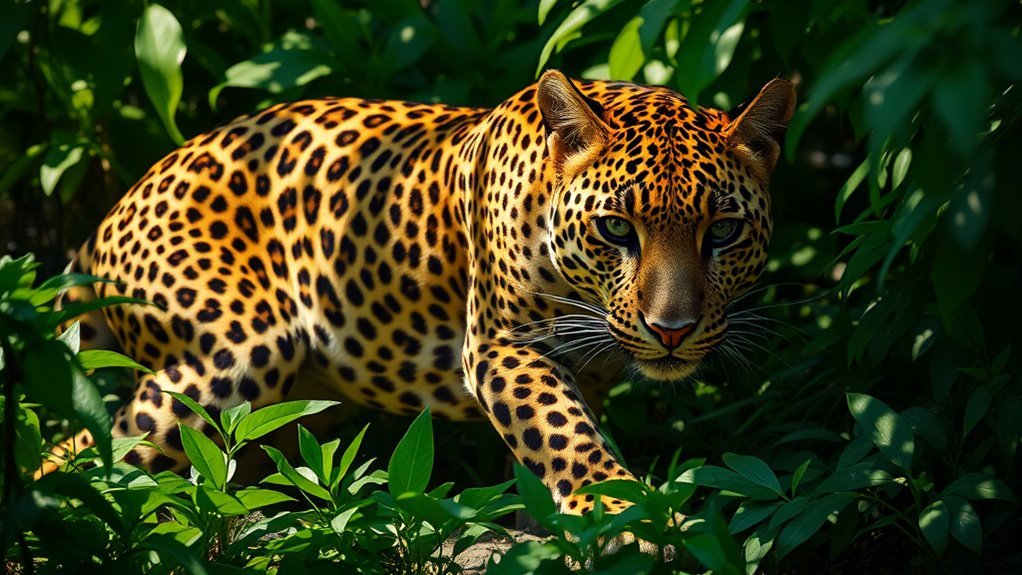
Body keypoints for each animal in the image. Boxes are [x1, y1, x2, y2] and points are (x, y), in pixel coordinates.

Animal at [44, 70, 795, 518]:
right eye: (616, 227)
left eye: (722, 231)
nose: (673, 329)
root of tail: (115, 208)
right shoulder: (499, 345)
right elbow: (564, 434)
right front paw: (623, 515)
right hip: (228, 356)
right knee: (92, 453)